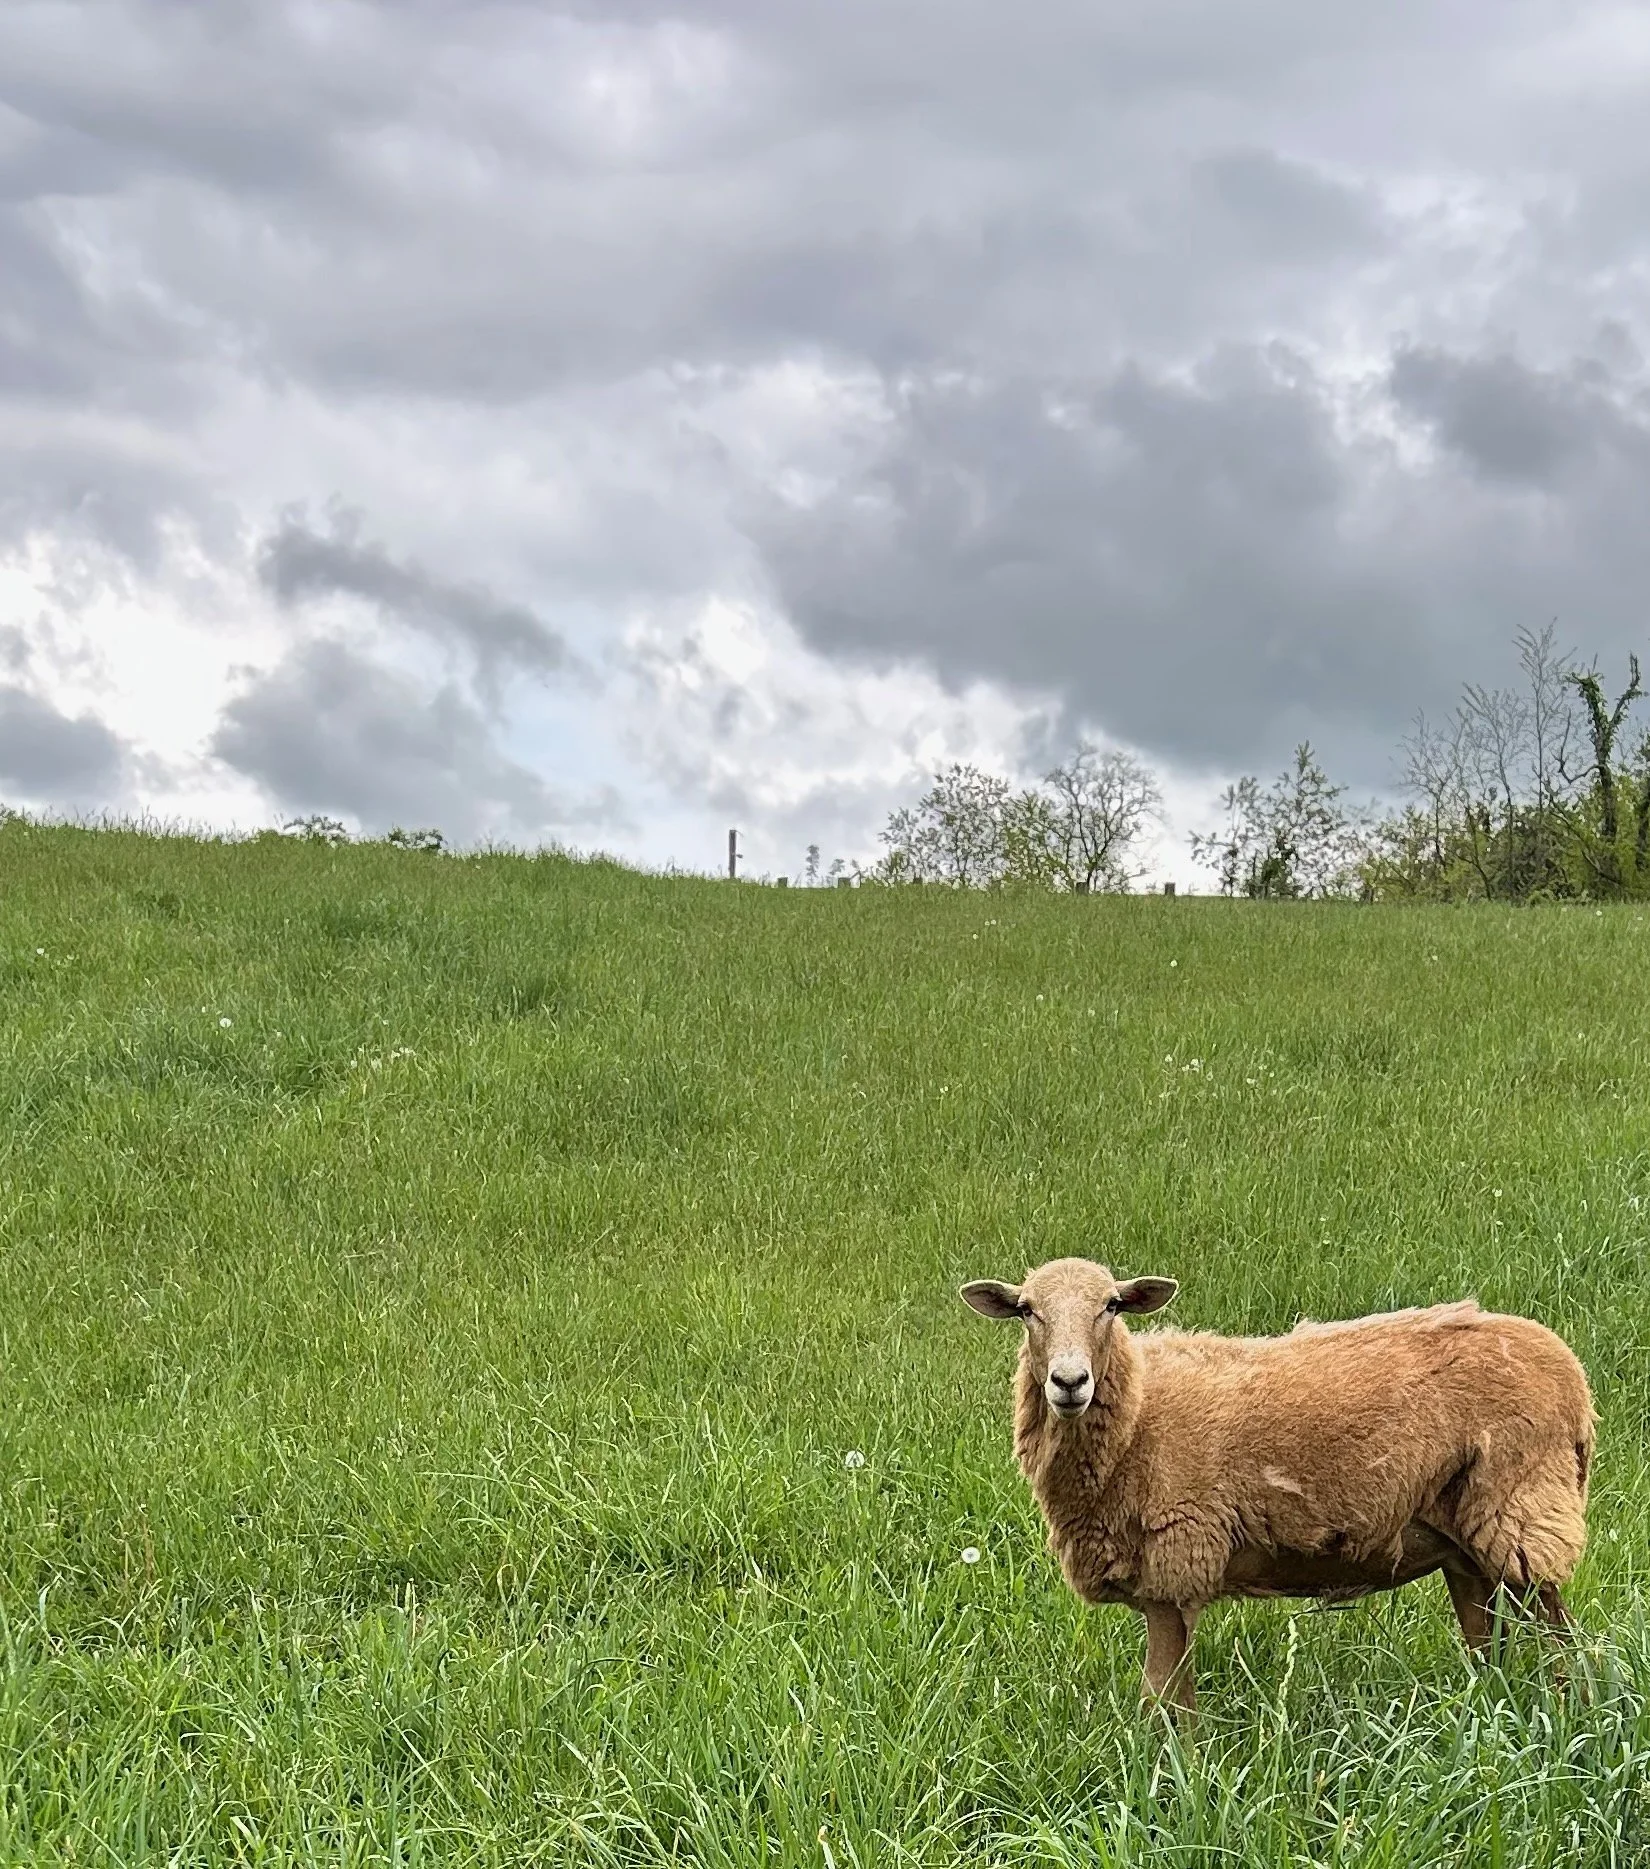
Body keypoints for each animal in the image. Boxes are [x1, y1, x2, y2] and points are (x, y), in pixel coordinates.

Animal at [961, 1257, 1595, 1718]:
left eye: (1111, 1306)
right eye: (1026, 1311)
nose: (1069, 1382)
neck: (1141, 1414)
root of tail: (1571, 1374)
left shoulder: (1174, 1563)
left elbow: (1163, 1702)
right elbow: (1173, 1698)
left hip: (1525, 1503)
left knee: (1564, 1636)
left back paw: (1574, 1712)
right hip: (1464, 1539)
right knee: (1487, 1644)